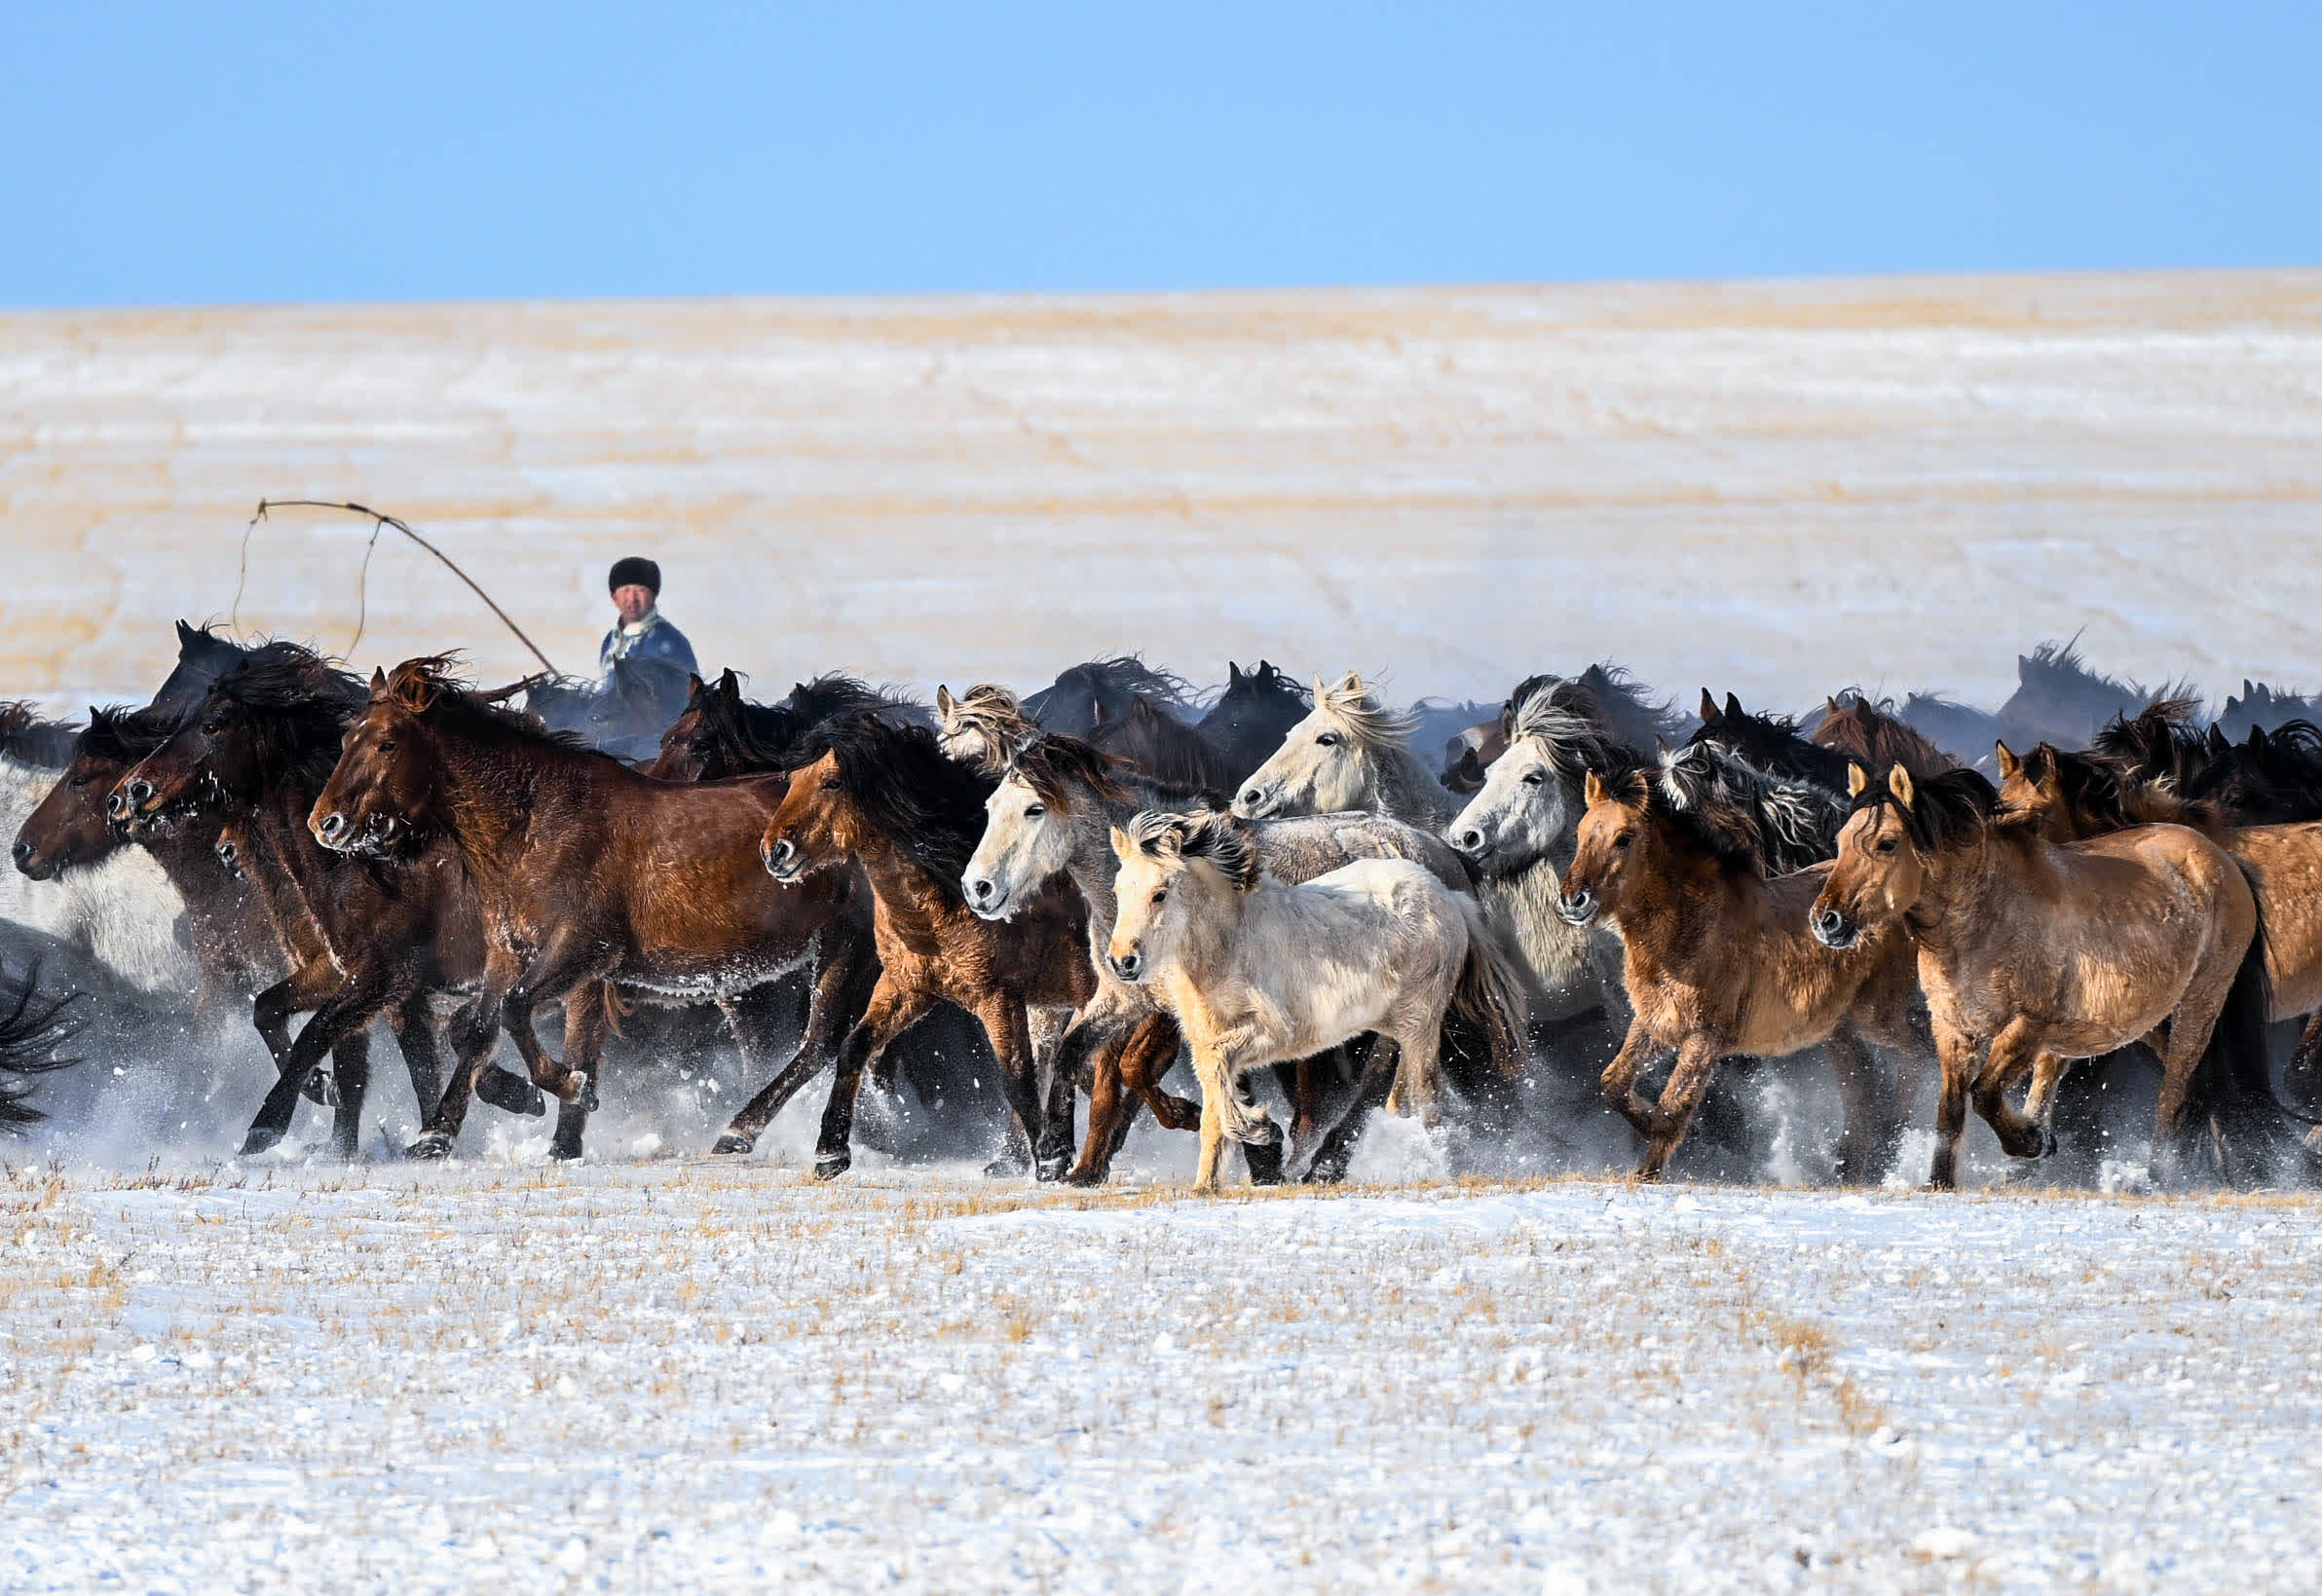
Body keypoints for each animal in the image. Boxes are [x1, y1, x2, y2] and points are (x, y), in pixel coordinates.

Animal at [313, 658, 873, 1160]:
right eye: (344, 740)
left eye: (387, 742)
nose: (327, 824)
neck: (537, 822)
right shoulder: (510, 950)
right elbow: (474, 1029)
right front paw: (443, 1131)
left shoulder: (585, 950)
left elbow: (516, 1012)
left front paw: (573, 1086)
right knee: (817, 1043)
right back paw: (746, 1131)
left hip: (850, 945)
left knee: (826, 1041)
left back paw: (759, 1134)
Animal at [757, 719, 1091, 1178]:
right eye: (792, 780)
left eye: (832, 781)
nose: (775, 851)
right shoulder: (906, 987)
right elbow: (853, 1047)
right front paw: (830, 1151)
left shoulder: (997, 998)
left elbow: (1015, 1078)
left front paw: (1052, 1159)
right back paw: (1009, 1160)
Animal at [1801, 761, 2275, 1182]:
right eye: (1841, 840)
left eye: (1886, 843)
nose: (1827, 922)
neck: (1987, 917)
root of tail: (2221, 860)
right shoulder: (1954, 1028)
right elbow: (1949, 1116)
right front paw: (1942, 1183)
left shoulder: (2028, 1024)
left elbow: (1984, 1094)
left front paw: (2029, 1143)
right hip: (2147, 1021)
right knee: (2199, 1088)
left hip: (2198, 1006)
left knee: (2176, 1092)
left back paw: (2156, 1176)